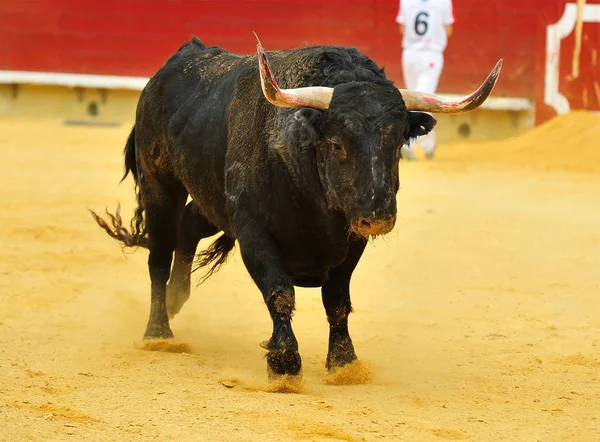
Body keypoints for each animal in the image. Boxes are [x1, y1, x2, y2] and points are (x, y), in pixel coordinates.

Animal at [90, 36, 502, 378]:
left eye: (399, 142)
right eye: (336, 144)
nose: (379, 218)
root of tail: (174, 65)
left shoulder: (351, 239)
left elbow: (337, 301)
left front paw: (344, 363)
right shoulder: (253, 230)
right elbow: (280, 291)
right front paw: (284, 362)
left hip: (214, 203)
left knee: (190, 224)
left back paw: (178, 297)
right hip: (160, 183)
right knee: (159, 254)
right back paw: (159, 332)